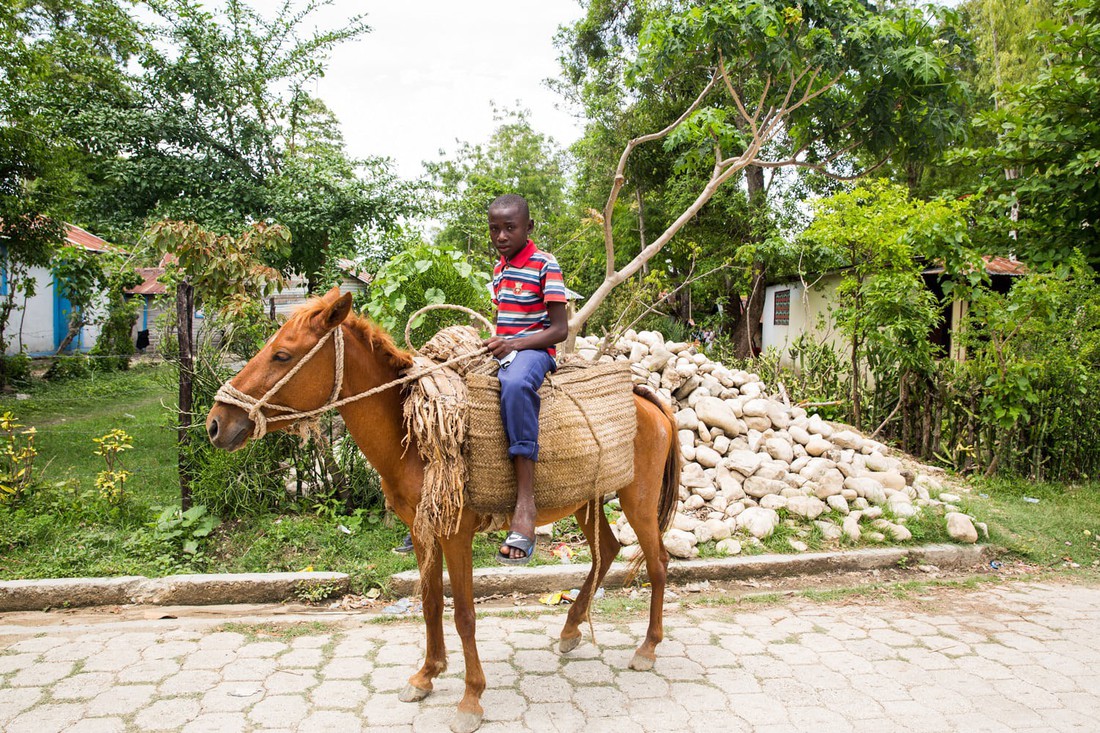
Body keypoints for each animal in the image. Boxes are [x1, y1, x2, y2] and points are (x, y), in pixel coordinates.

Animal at [205, 290, 677, 730]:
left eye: (282, 354)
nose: (215, 423)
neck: (415, 435)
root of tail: (646, 398)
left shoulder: (455, 534)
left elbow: (464, 614)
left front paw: (471, 699)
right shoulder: (421, 530)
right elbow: (431, 602)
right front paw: (426, 675)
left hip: (637, 498)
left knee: (657, 562)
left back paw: (648, 647)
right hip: (586, 499)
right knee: (607, 551)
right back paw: (571, 628)